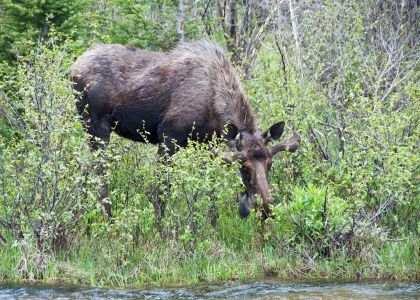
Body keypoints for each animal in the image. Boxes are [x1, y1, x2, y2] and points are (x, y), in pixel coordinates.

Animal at [70, 40, 300, 220]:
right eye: (244, 167)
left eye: (270, 164)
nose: (266, 208)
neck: (214, 105)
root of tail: (72, 69)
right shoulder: (168, 137)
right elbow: (162, 190)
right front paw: (161, 228)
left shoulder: (206, 144)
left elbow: (208, 187)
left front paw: (212, 223)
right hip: (97, 126)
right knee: (100, 173)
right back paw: (107, 220)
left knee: (83, 169)